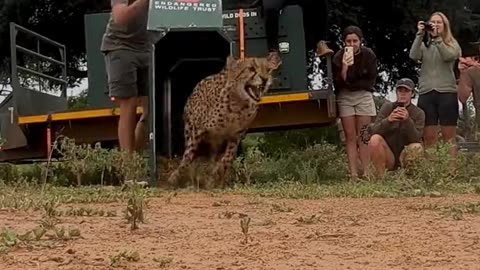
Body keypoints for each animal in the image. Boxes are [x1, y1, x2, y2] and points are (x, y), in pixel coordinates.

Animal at [168, 52, 282, 188]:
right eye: (251, 68)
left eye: (268, 70)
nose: (265, 79)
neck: (239, 105)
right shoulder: (197, 131)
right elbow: (187, 158)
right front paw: (176, 177)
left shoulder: (234, 135)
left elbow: (227, 158)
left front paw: (217, 173)